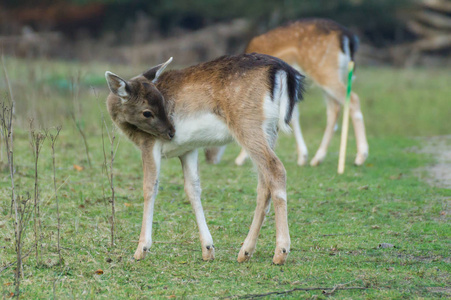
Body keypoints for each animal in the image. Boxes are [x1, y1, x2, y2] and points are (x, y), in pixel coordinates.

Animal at [104, 52, 306, 264]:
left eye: (158, 104)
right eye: (148, 111)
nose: (171, 132)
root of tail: (284, 70)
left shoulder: (149, 143)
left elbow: (149, 187)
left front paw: (140, 249)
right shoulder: (188, 149)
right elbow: (193, 189)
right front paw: (208, 249)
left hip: (248, 124)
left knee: (276, 169)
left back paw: (280, 251)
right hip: (270, 131)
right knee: (263, 182)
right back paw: (245, 251)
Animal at [207, 18, 370, 168]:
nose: (209, 158)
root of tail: (347, 37)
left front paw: (241, 158)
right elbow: (292, 116)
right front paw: (302, 157)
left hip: (325, 70)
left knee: (353, 99)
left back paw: (360, 157)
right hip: (332, 74)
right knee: (334, 109)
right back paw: (317, 158)